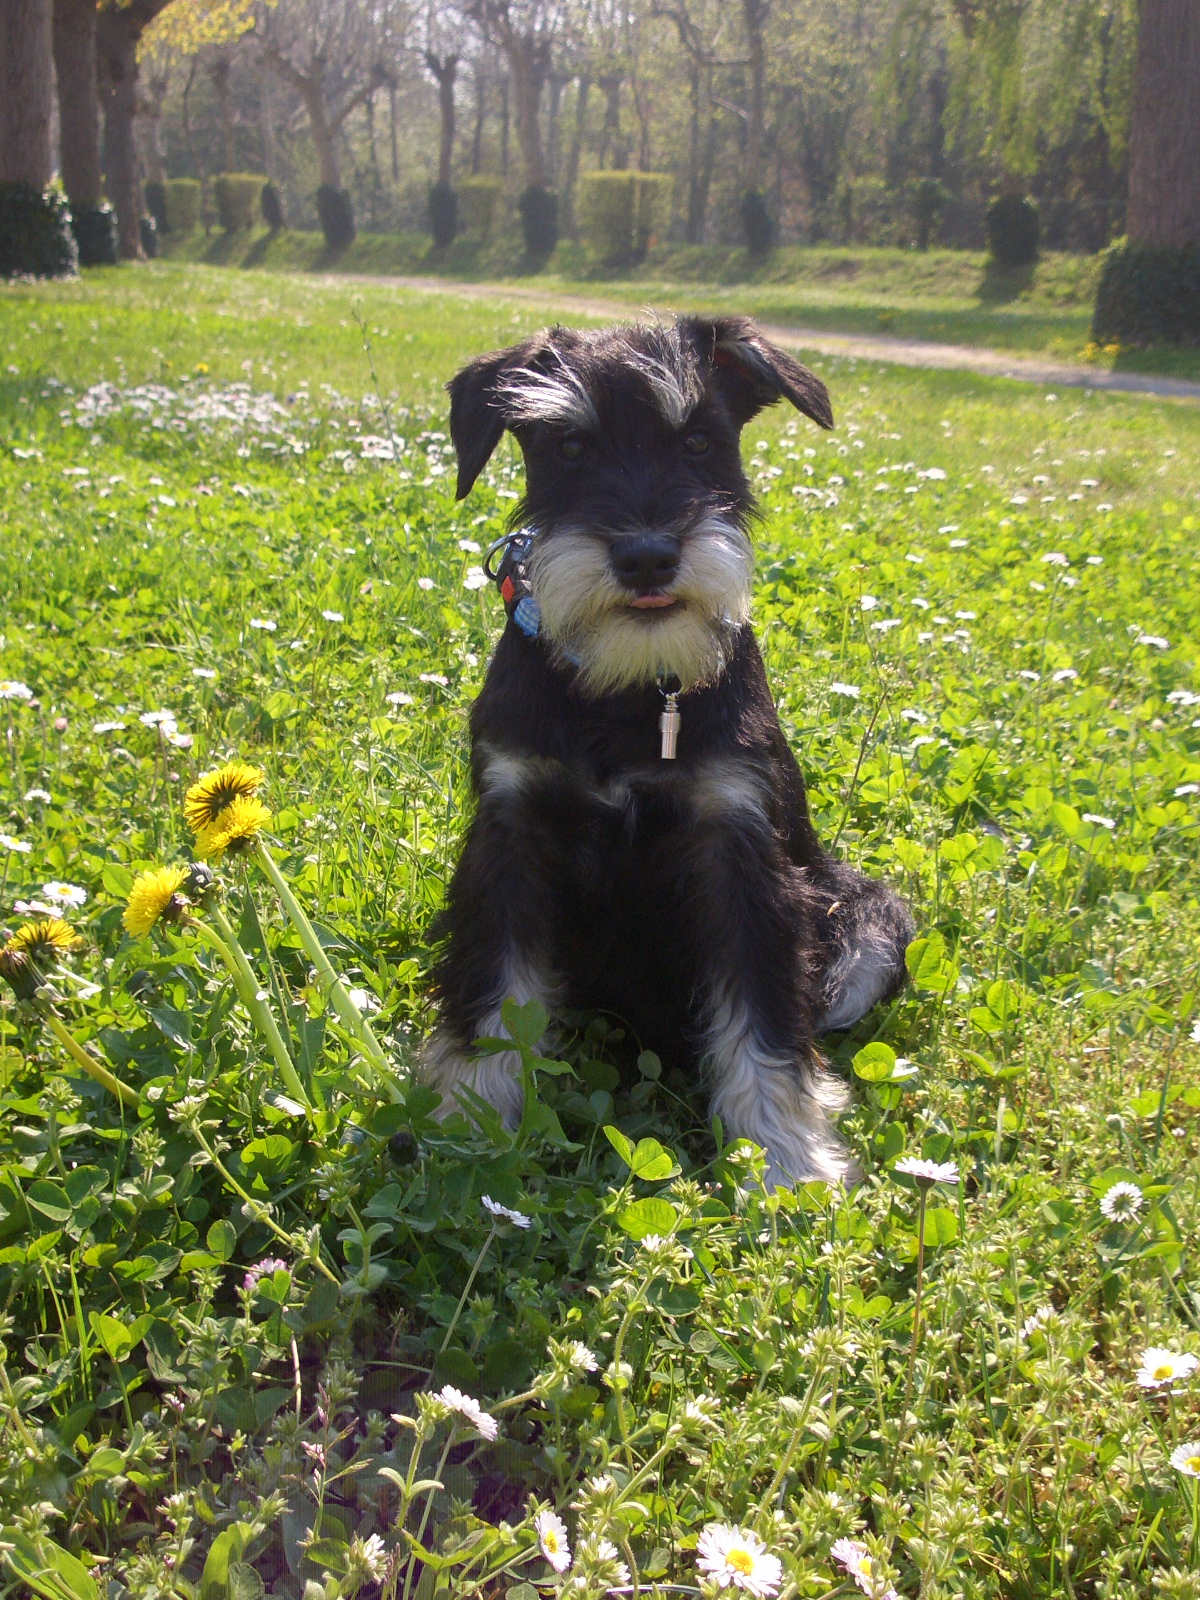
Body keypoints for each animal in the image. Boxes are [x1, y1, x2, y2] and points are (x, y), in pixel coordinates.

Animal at [422, 315, 913, 1187]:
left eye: (699, 441)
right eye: (569, 447)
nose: (647, 555)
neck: (627, 691)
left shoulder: (739, 853)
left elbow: (762, 1009)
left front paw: (786, 1159)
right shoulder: (510, 838)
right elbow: (494, 986)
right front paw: (471, 1116)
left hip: (868, 919)